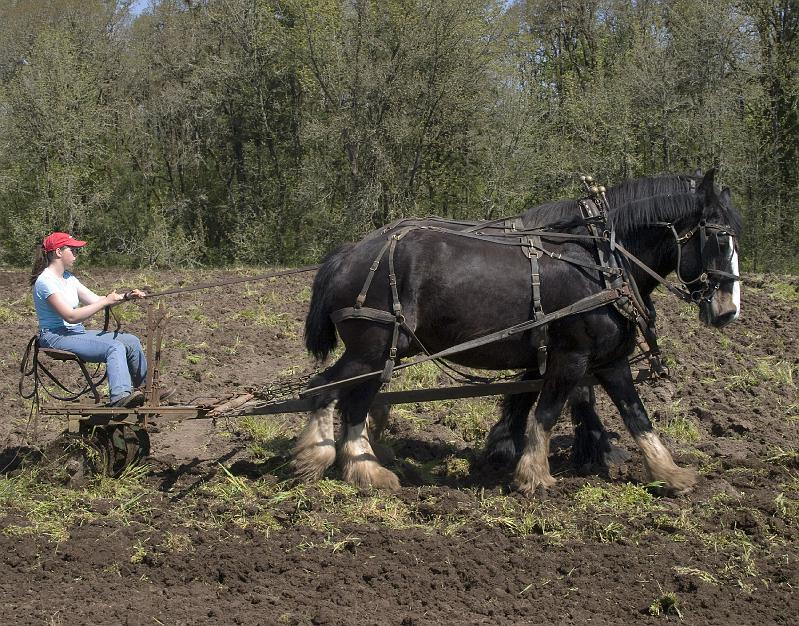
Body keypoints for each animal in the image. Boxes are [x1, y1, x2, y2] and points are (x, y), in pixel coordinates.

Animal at [300, 169, 744, 492]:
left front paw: (670, 473)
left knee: (352, 399)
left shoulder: (610, 360)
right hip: (372, 349)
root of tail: (350, 253)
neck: (603, 261)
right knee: (325, 390)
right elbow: (547, 411)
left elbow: (637, 415)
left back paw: (364, 468)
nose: (728, 311)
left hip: (383, 353)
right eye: (719, 238)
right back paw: (327, 460)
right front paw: (534, 475)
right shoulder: (572, 356)